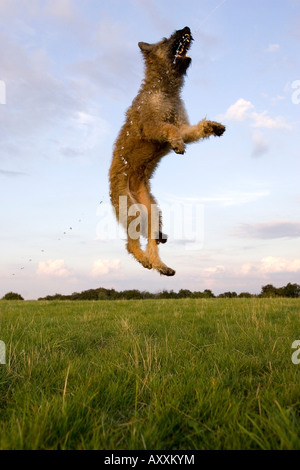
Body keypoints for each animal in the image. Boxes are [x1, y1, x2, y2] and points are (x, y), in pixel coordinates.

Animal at [109, 26, 224, 276]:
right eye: (165, 39)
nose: (186, 28)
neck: (164, 89)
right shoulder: (150, 125)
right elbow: (168, 128)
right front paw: (177, 145)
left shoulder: (183, 127)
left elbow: (189, 130)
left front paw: (213, 126)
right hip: (133, 211)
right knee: (130, 243)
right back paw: (145, 260)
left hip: (151, 212)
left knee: (151, 239)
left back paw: (160, 265)